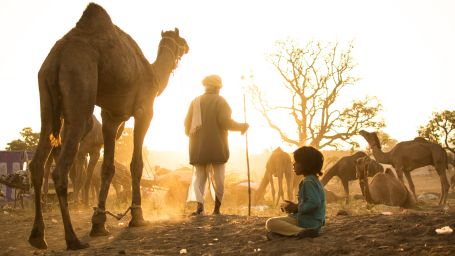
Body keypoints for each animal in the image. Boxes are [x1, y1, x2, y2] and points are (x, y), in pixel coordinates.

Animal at [27, 2, 189, 250]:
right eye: (180, 39)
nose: (187, 46)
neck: (153, 75)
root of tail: (57, 58)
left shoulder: (111, 118)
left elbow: (108, 168)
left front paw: (99, 223)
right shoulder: (144, 111)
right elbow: (135, 164)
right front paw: (137, 216)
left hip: (46, 97)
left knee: (38, 162)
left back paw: (38, 236)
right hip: (79, 83)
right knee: (61, 170)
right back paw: (73, 239)